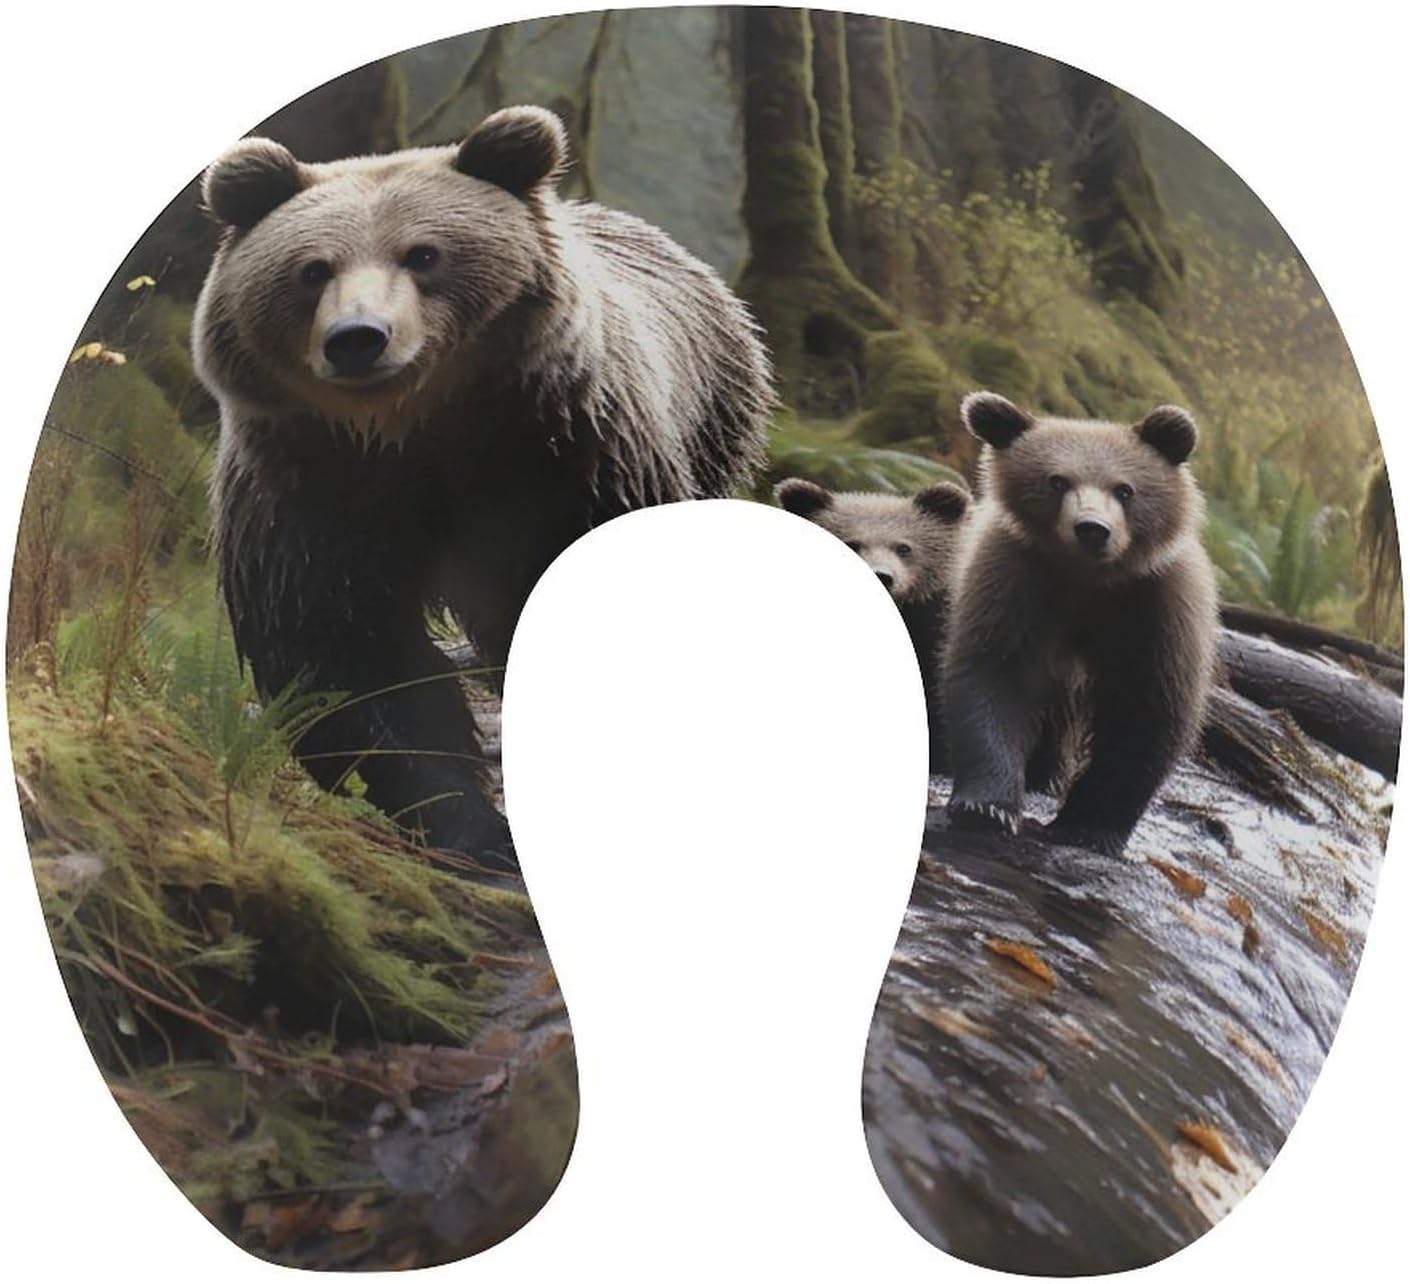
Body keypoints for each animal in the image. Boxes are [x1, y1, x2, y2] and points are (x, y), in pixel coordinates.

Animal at [193, 106, 773, 868]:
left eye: (423, 255)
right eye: (312, 269)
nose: (358, 337)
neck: (413, 432)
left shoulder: (559, 460)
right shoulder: (310, 487)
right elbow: (344, 647)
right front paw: (467, 825)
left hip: (711, 415)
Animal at [942, 391, 1217, 855]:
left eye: (1125, 489)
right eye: (1057, 481)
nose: (1092, 529)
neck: (1088, 580)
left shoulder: (1157, 607)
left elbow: (1146, 711)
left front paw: (1087, 826)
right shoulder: (1013, 583)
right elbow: (994, 680)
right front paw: (987, 806)